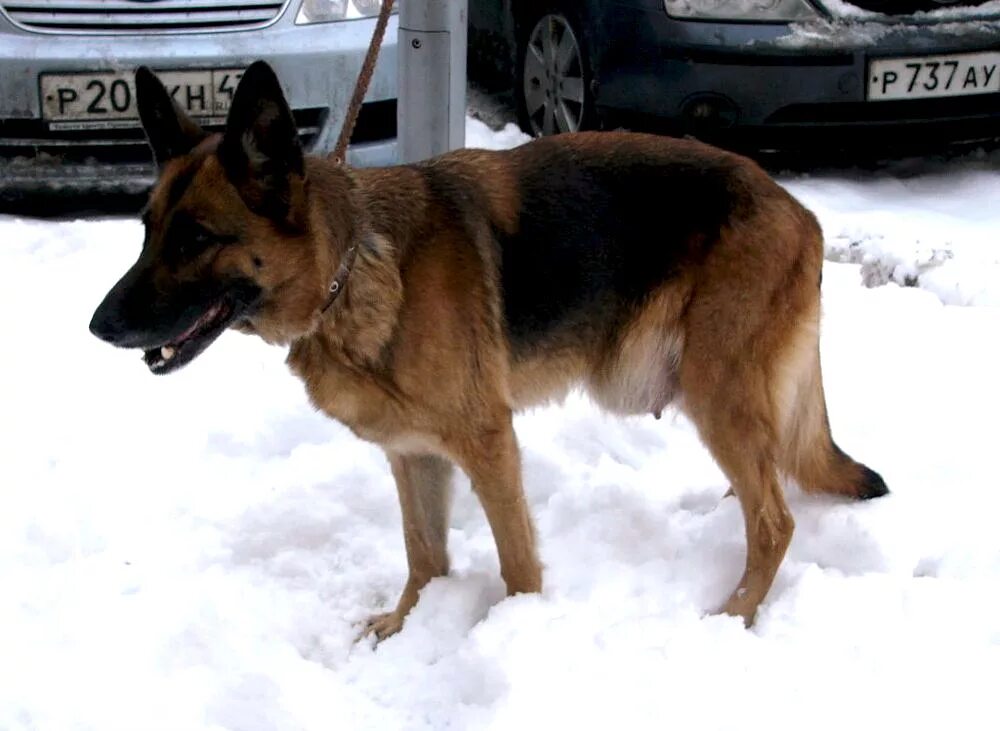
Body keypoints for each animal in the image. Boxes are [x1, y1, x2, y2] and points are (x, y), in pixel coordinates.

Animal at [90, 61, 888, 636]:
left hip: (716, 388)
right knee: (765, 488)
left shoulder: (488, 443)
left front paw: (514, 633)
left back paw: (734, 615)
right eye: (146, 229)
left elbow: (516, 564)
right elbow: (424, 553)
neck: (351, 270)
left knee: (775, 520)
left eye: (195, 239)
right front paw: (406, 629)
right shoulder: (412, 453)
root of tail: (799, 209)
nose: (98, 326)